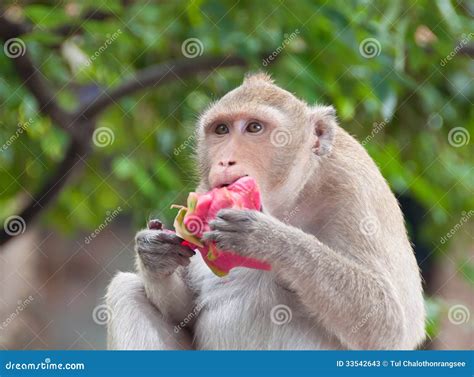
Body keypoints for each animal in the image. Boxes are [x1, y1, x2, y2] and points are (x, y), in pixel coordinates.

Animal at [106, 72, 426, 348]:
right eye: (221, 129)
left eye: (254, 128)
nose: (225, 161)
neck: (292, 198)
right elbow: (184, 312)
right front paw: (154, 253)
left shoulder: (355, 187)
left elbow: (392, 325)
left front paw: (267, 239)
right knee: (126, 290)